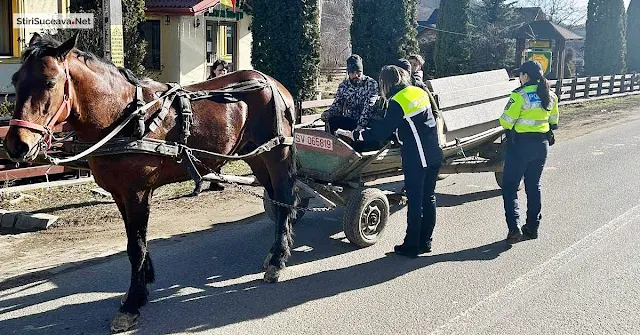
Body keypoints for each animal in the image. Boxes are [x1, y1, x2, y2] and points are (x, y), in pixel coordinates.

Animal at [3, 32, 298, 334]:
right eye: (16, 80)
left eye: (50, 82)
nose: (16, 145)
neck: (123, 117)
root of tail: (272, 82)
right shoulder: (120, 194)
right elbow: (135, 244)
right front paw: (140, 288)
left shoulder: (137, 193)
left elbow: (137, 247)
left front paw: (132, 303)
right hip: (256, 157)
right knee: (277, 199)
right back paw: (277, 251)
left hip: (275, 154)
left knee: (284, 199)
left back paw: (277, 260)